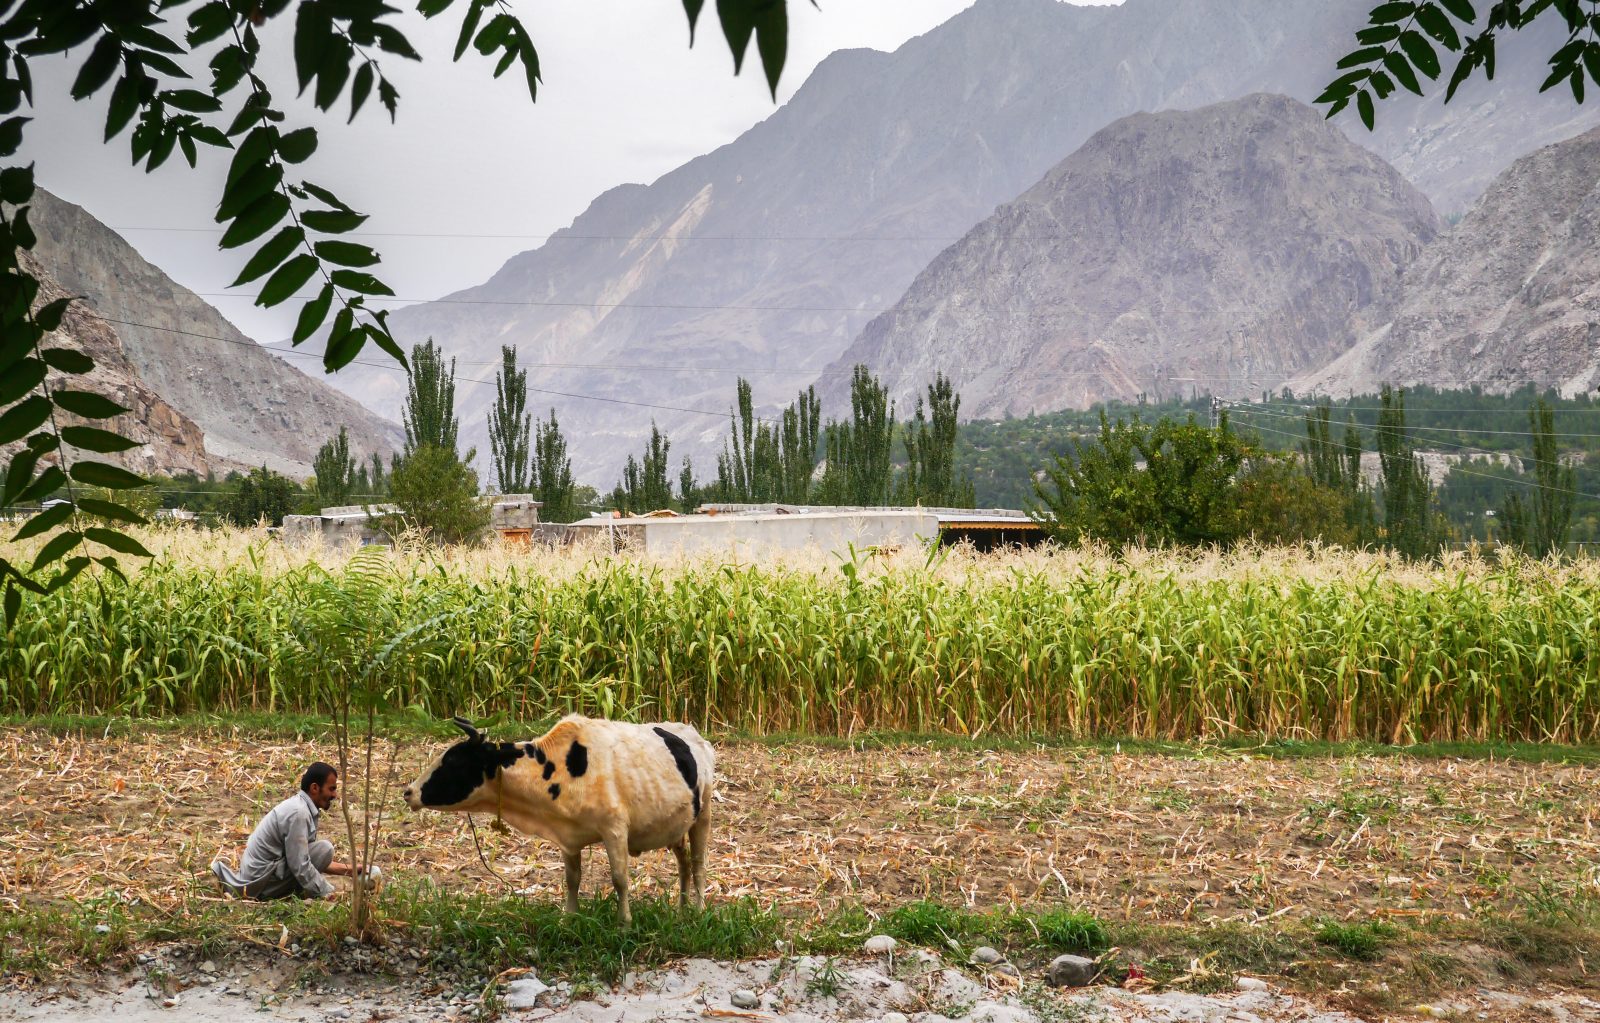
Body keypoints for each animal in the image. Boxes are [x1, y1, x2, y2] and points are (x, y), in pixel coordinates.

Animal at [403, 710, 716, 928]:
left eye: (454, 761)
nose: (408, 792)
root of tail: (694, 734)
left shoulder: (615, 829)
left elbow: (620, 880)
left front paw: (624, 923)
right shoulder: (569, 838)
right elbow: (572, 879)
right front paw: (569, 918)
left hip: (703, 815)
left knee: (699, 864)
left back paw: (698, 910)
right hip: (676, 825)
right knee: (684, 864)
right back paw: (681, 910)